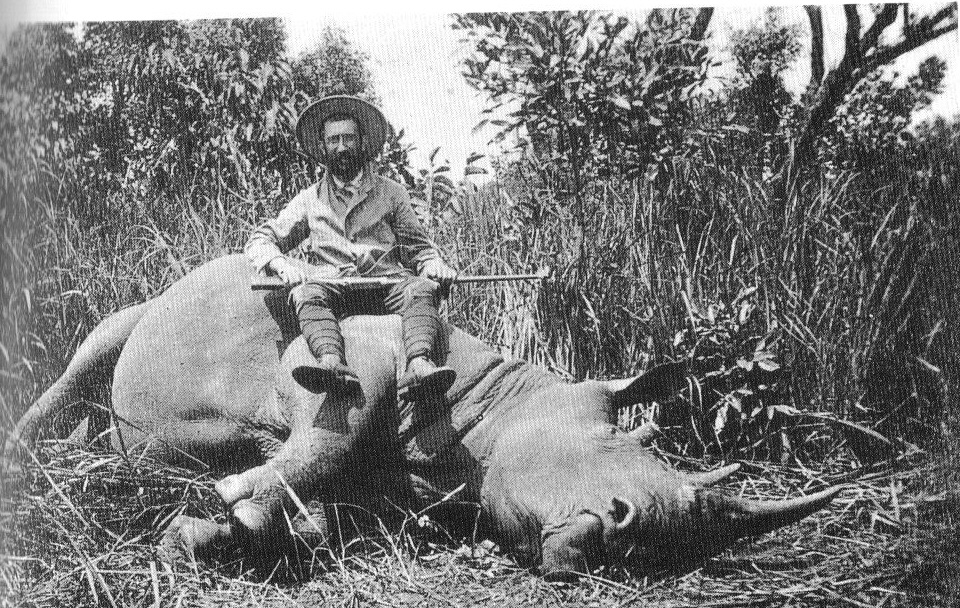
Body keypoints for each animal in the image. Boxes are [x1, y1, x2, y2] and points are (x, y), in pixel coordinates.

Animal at [7, 254, 840, 578]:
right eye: (616, 442)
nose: (637, 539)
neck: (496, 402)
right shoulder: (339, 358)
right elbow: (330, 427)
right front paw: (224, 513)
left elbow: (329, 503)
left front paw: (237, 526)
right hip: (146, 308)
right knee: (95, 346)